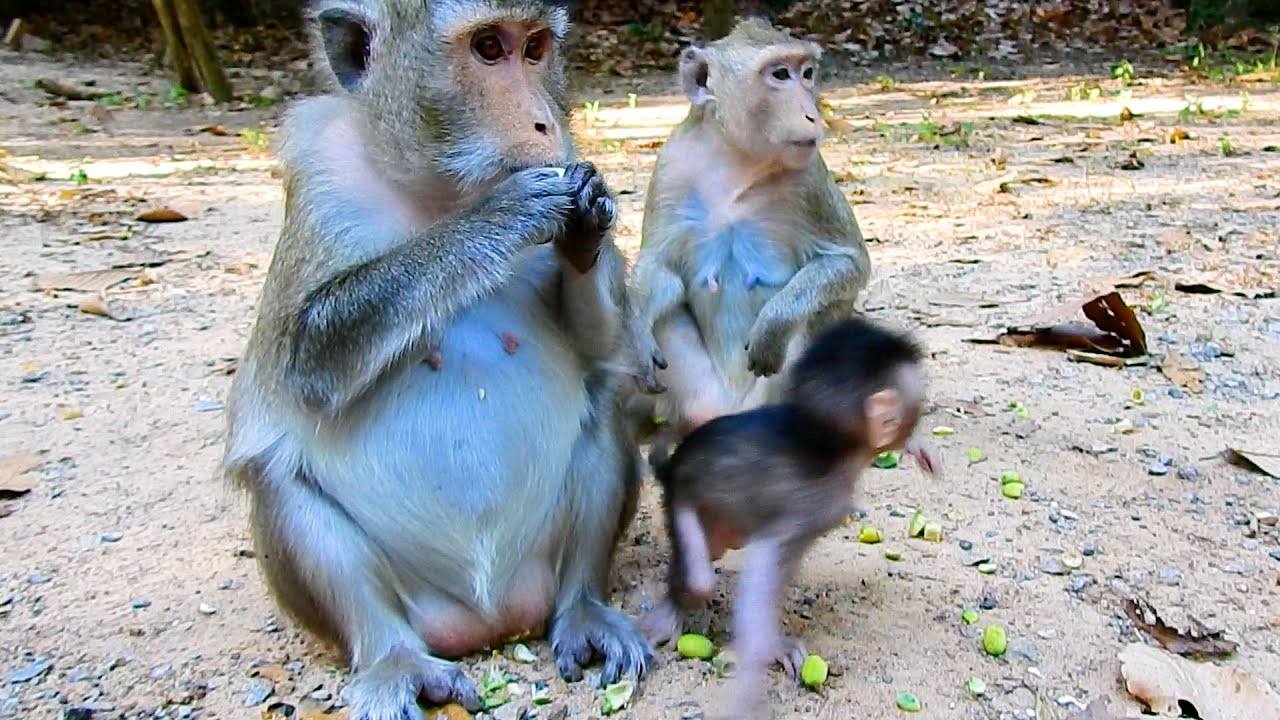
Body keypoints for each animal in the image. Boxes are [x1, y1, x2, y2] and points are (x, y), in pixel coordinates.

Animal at [220, 2, 651, 717]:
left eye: (535, 48)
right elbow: (306, 361)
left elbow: (602, 349)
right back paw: (393, 658)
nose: (542, 122)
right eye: (488, 48)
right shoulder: (320, 174)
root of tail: (491, 619)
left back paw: (583, 610)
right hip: (404, 605)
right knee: (279, 479)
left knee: (606, 407)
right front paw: (499, 217)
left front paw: (588, 218)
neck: (438, 193)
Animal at [628, 18, 872, 462]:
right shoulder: (671, 166)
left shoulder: (811, 178)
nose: (813, 115)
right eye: (780, 75)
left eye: (807, 72)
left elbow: (848, 262)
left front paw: (775, 325)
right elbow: (660, 269)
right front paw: (636, 333)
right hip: (694, 394)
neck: (736, 160)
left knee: (822, 310)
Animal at [638, 316, 940, 720]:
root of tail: (671, 467)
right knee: (701, 578)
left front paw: (917, 447)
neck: (826, 446)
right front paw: (751, 683)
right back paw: (674, 608)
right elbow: (760, 585)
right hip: (681, 502)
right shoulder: (804, 509)